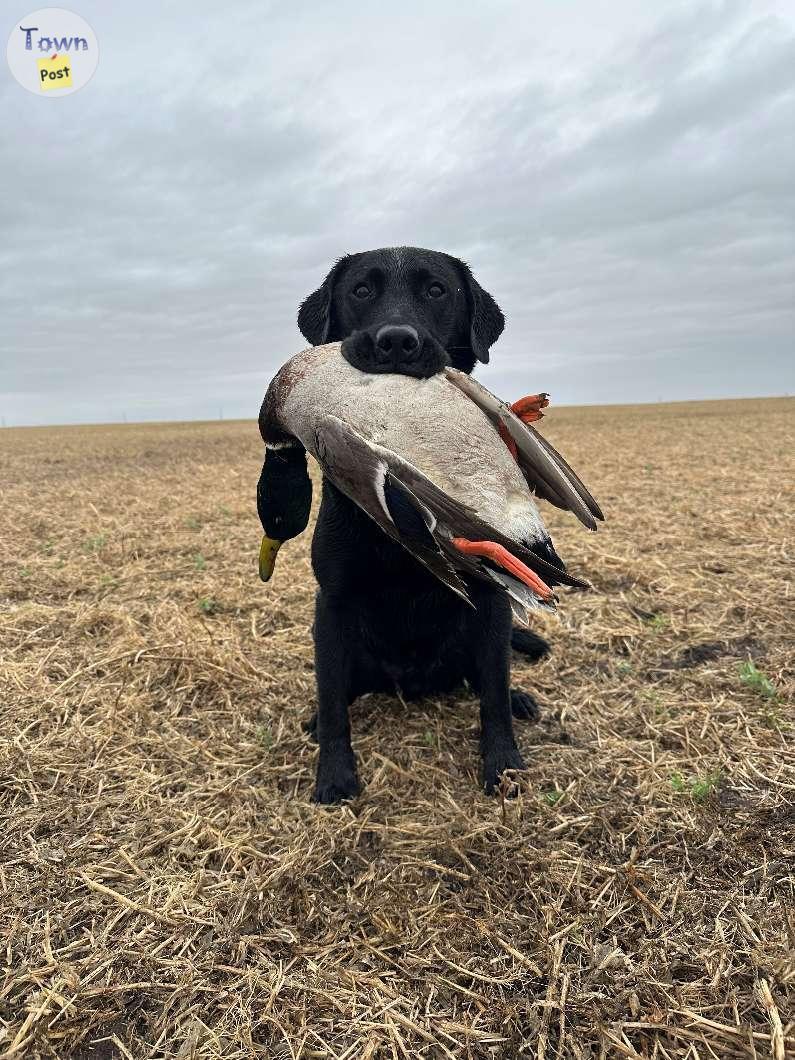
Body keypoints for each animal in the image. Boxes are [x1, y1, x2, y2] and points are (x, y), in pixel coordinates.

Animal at [258, 243, 555, 797]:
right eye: (360, 290)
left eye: (437, 290)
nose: (396, 340)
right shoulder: (332, 603)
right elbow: (331, 698)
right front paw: (334, 775)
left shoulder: (490, 606)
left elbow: (495, 691)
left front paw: (503, 764)